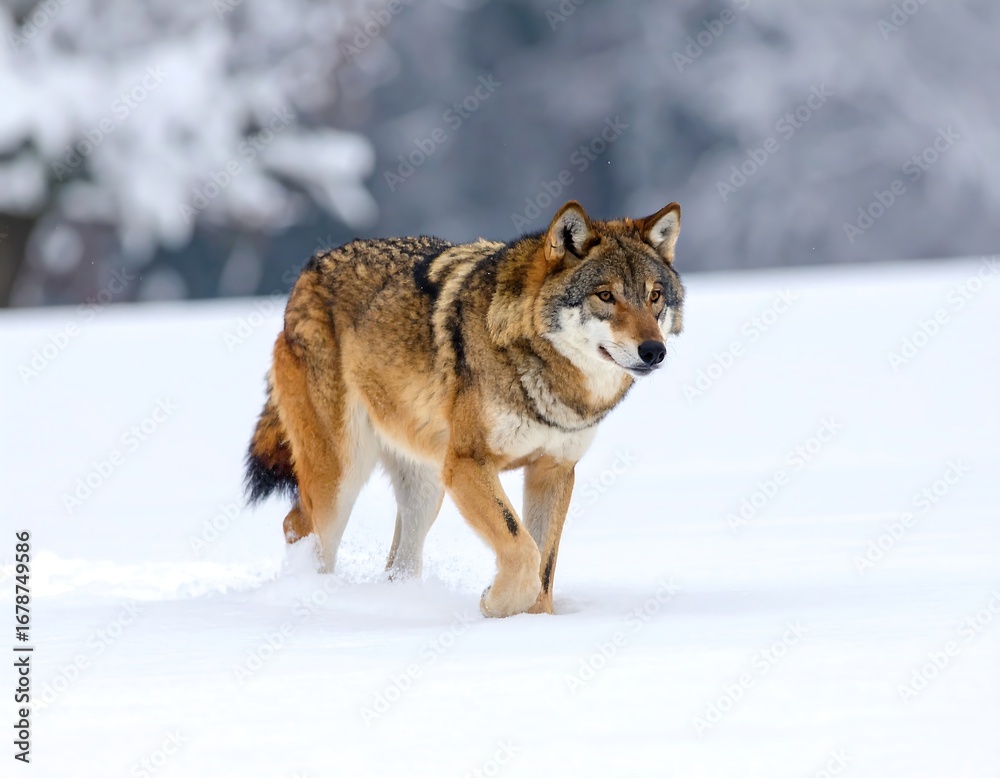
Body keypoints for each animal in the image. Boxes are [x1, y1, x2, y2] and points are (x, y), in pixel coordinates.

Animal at [245, 200, 684, 617]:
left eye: (654, 296)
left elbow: (544, 564)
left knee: (397, 563)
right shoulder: (468, 464)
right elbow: (523, 549)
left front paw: (535, 621)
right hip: (343, 473)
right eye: (605, 295)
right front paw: (495, 604)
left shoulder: (554, 470)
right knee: (298, 525)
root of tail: (309, 270)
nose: (654, 351)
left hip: (425, 488)